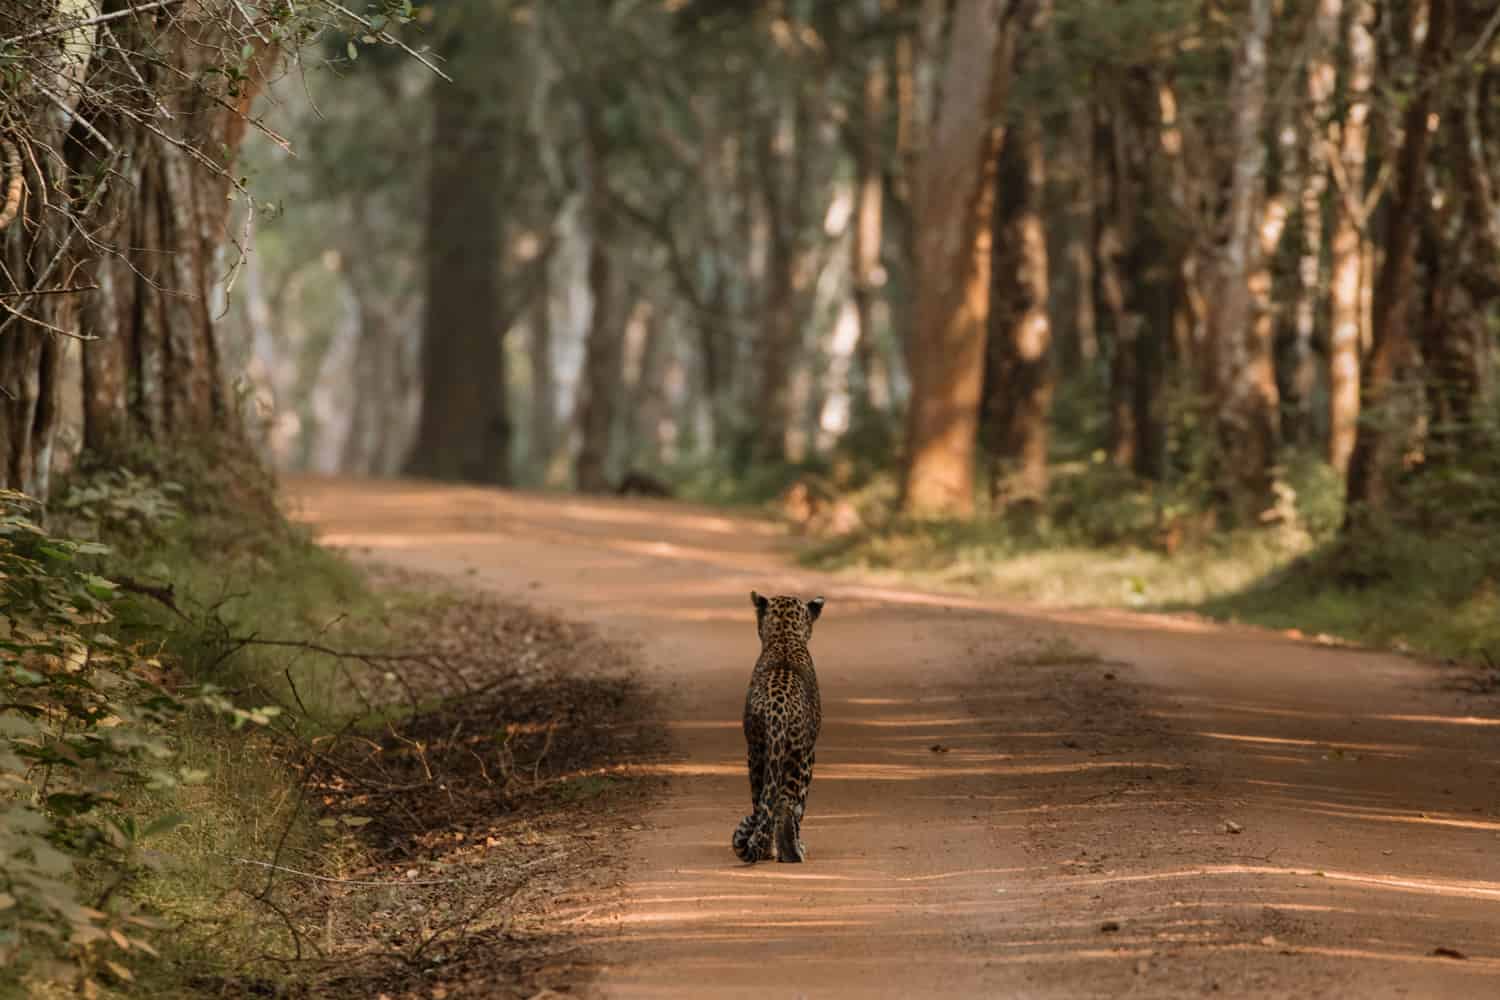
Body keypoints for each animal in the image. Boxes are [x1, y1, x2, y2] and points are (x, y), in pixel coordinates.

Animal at [732, 590, 828, 863]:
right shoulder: (810, 754)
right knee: (786, 805)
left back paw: (767, 849)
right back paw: (792, 852)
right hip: (798, 758)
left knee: (762, 801)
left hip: (757, 752)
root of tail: (778, 708)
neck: (785, 638)